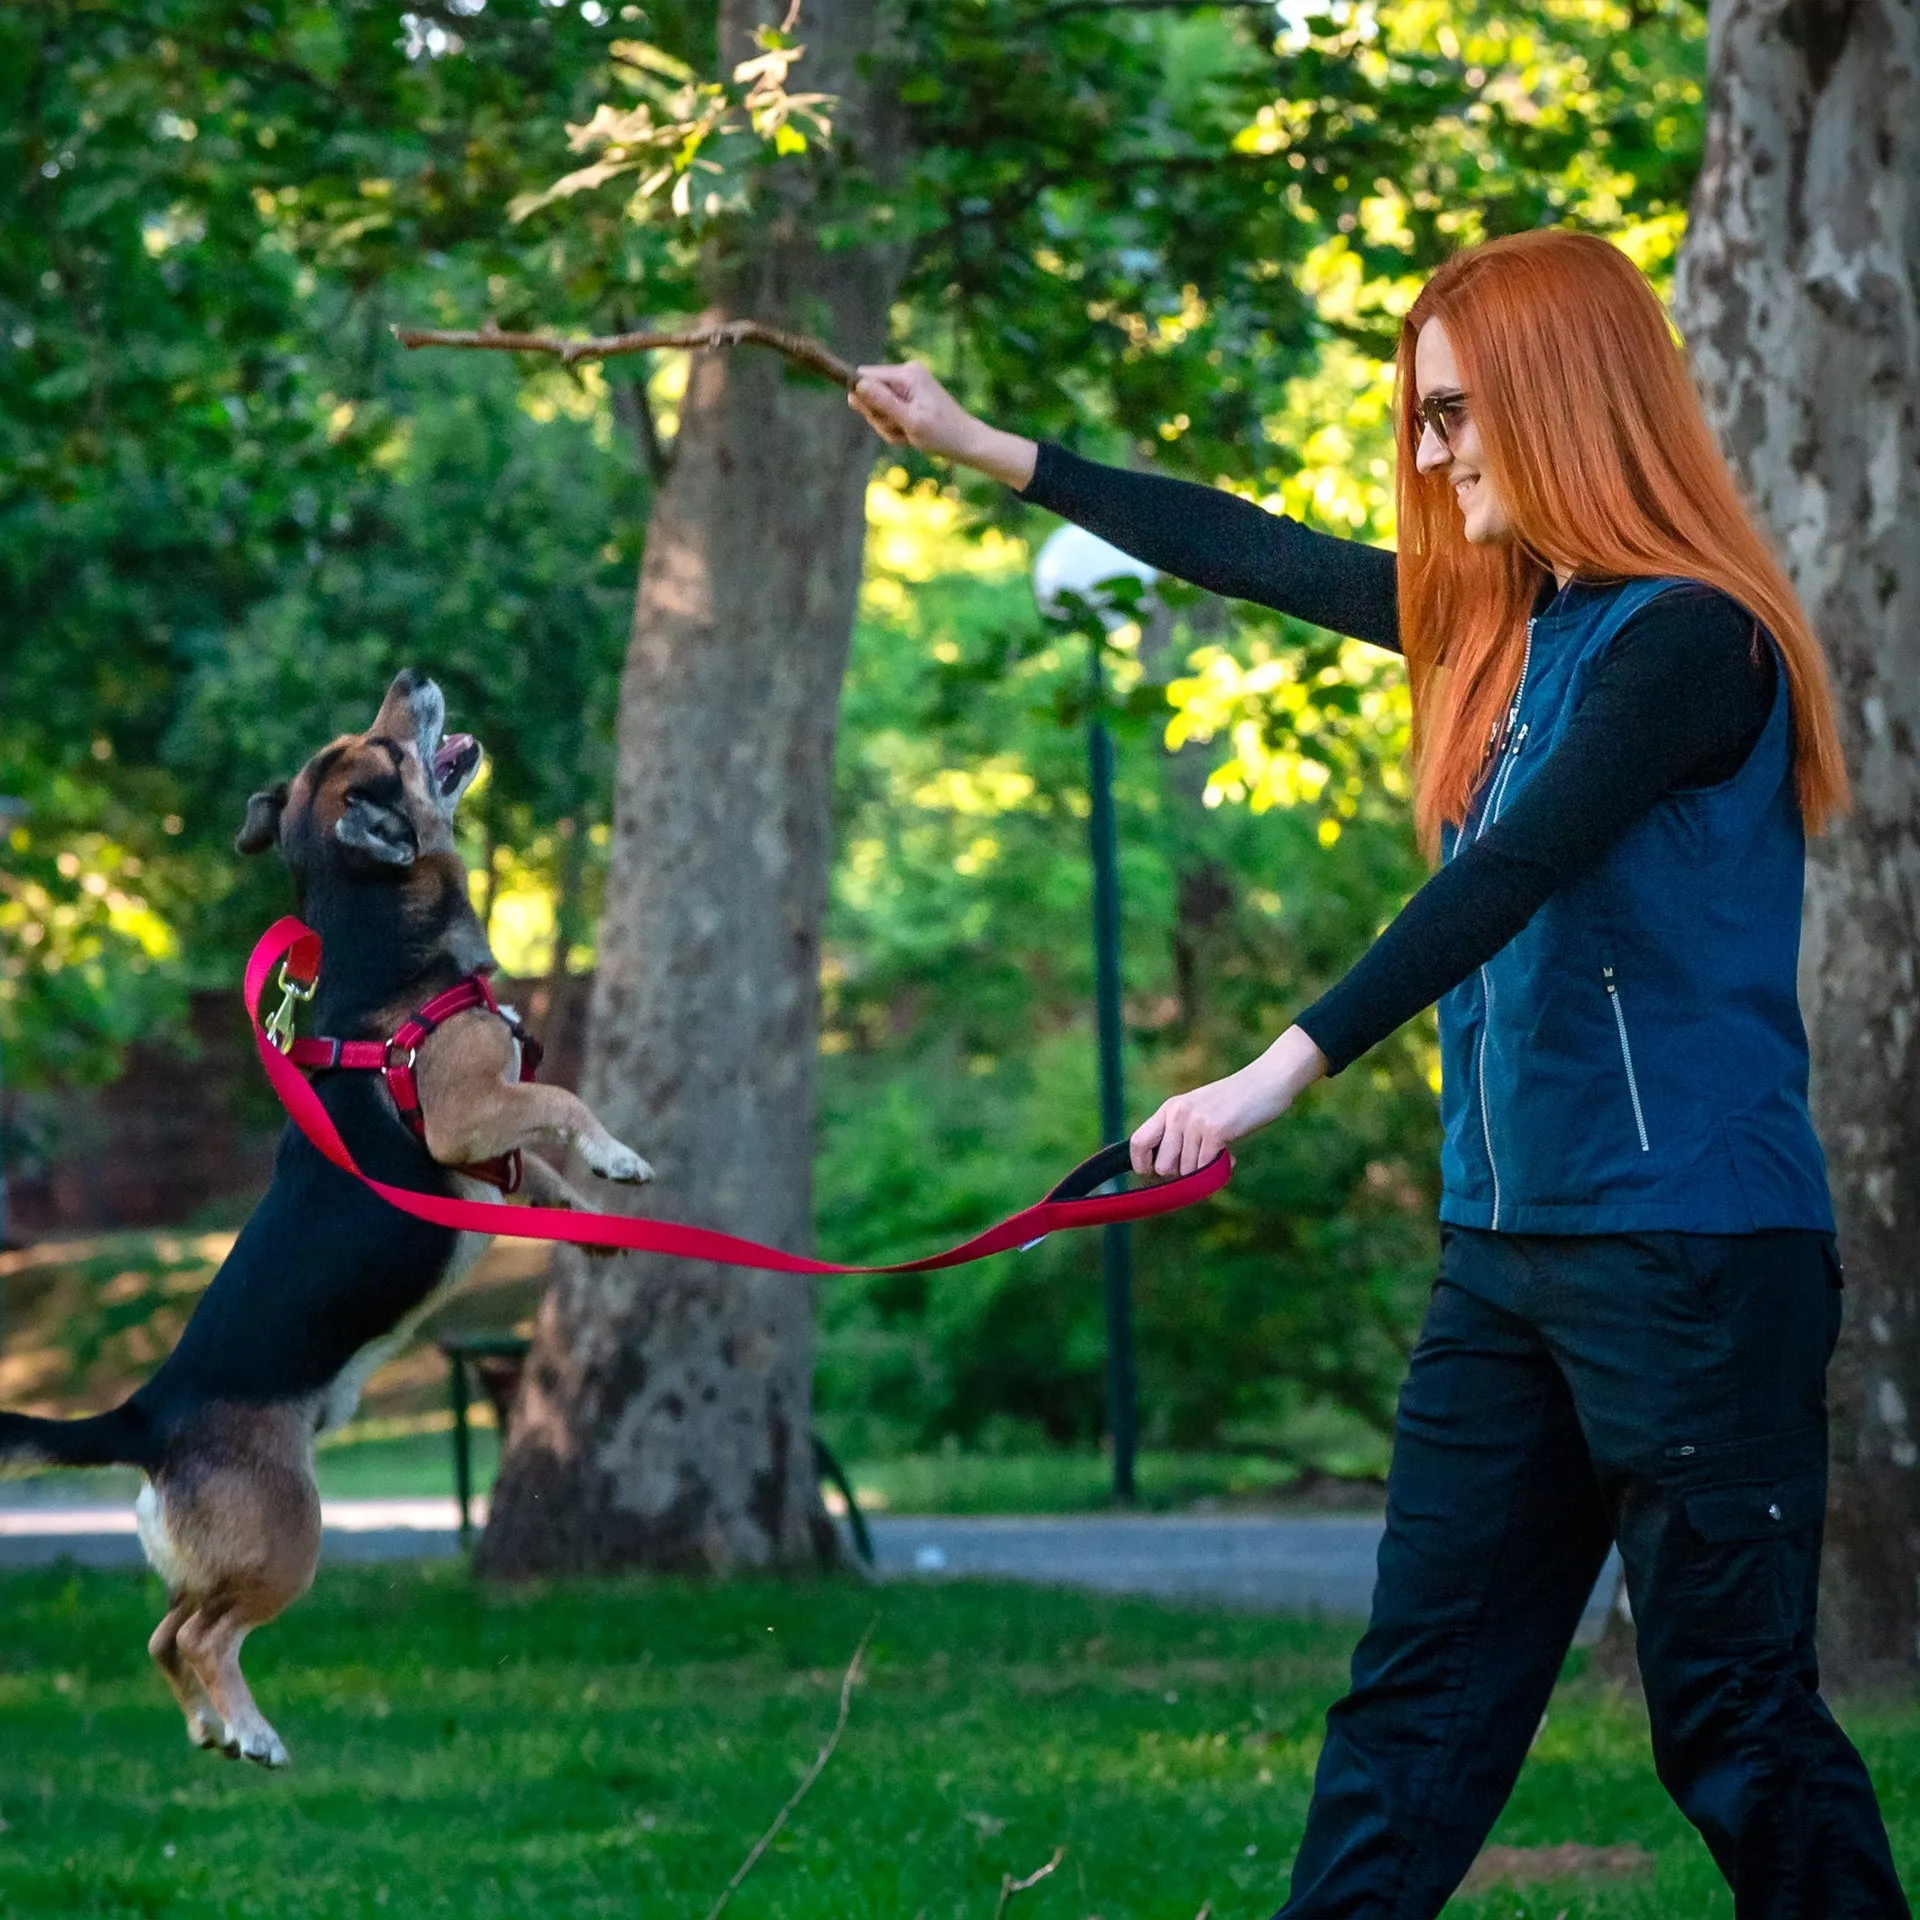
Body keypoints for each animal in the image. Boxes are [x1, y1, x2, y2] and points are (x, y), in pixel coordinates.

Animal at [0, 675, 652, 1766]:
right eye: (383, 749)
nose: (410, 678)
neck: (383, 948)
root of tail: (148, 1415)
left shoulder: (490, 1151)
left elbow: (545, 1173)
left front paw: (593, 1210)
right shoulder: (469, 1113)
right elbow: (562, 1100)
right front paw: (619, 1156)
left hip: (226, 1552)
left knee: (165, 1632)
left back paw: (212, 1728)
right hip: (285, 1535)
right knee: (204, 1635)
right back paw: (254, 1731)